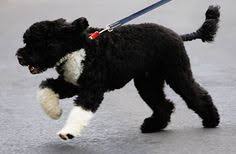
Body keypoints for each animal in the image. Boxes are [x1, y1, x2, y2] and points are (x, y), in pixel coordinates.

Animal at [16, 5, 219, 141]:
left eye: (38, 43)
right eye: (26, 41)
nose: (19, 56)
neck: (78, 47)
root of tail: (178, 35)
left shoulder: (92, 89)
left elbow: (80, 110)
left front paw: (68, 131)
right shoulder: (71, 84)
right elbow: (46, 87)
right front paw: (54, 111)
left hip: (177, 73)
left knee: (196, 96)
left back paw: (212, 120)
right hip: (147, 82)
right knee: (164, 105)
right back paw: (153, 126)